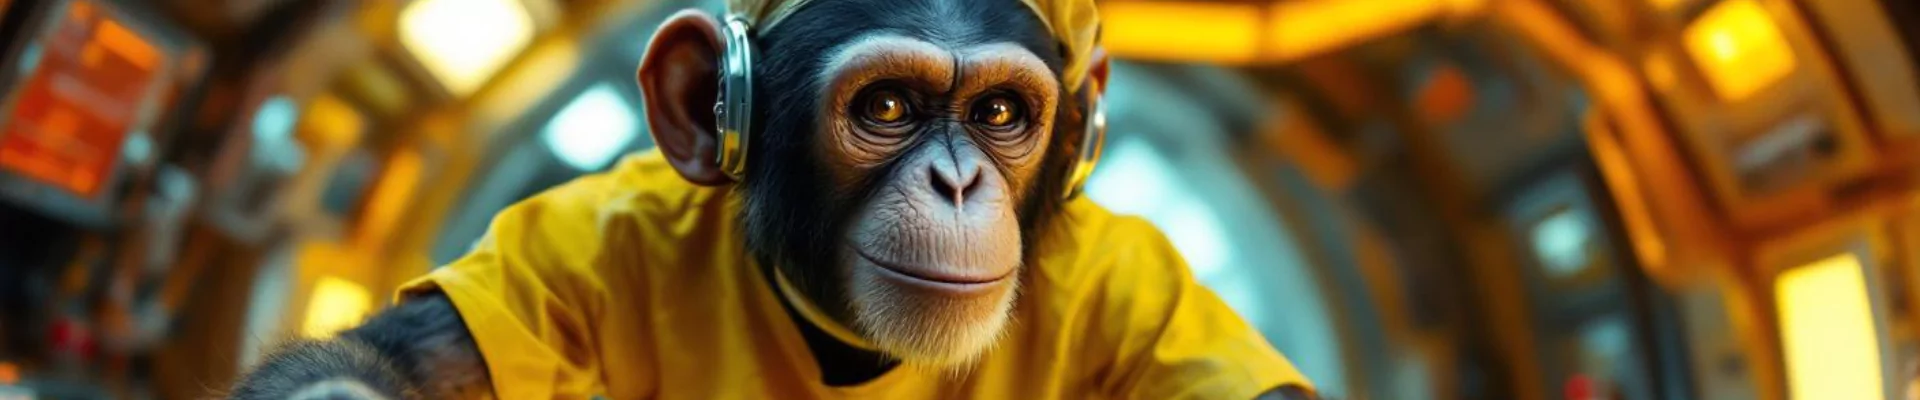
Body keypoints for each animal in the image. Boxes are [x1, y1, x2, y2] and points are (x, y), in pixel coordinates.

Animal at [225, 0, 1319, 398]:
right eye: (888, 105)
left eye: (1003, 111)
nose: (957, 180)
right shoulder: (567, 247)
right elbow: (413, 357)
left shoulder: (1139, 285)